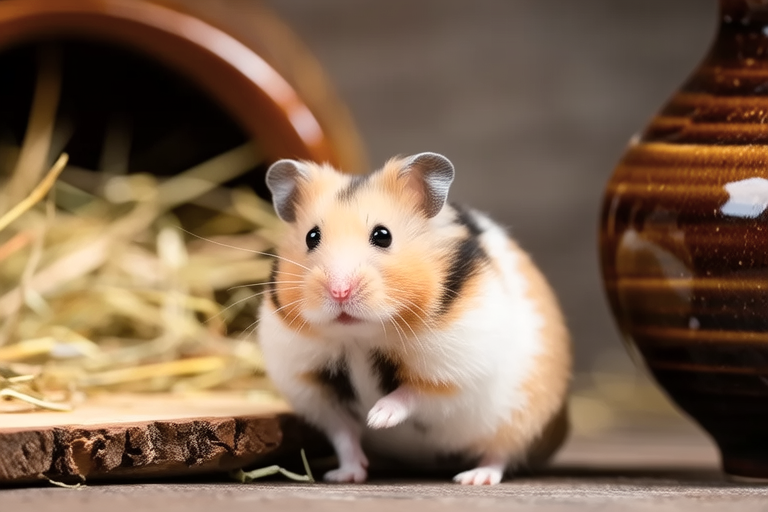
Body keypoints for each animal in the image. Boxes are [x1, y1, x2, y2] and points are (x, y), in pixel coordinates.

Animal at [257, 152, 571, 485]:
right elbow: (344, 437)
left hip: (520, 415)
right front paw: (345, 474)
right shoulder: (316, 393)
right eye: (311, 236)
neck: (359, 338)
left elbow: (411, 394)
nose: (339, 291)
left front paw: (378, 417)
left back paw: (473, 478)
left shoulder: (451, 375)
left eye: (382, 236)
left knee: (500, 453)